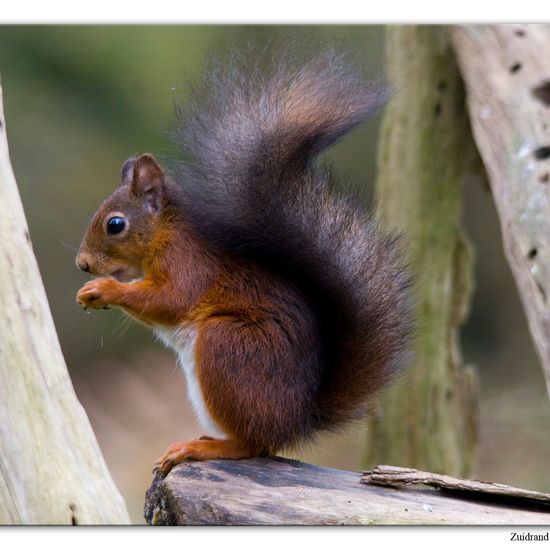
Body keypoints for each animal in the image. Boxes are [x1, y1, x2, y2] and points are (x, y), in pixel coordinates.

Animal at [76, 49, 414, 476]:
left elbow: (169, 300)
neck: (166, 232)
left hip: (228, 346)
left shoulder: (189, 263)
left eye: (115, 224)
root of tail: (296, 420)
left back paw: (201, 448)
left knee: (254, 444)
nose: (83, 264)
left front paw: (104, 289)